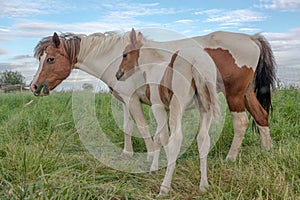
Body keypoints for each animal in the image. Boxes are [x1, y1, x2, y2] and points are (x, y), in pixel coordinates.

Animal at [30, 28, 276, 162]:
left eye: (50, 59)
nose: (34, 86)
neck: (116, 57)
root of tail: (251, 39)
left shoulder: (132, 99)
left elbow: (142, 126)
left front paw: (151, 155)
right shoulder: (124, 100)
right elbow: (128, 126)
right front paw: (127, 154)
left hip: (234, 95)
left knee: (241, 122)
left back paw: (231, 158)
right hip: (247, 94)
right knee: (261, 116)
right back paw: (266, 151)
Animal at [115, 30, 220, 194]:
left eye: (125, 54)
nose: (118, 74)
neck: (153, 67)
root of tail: (197, 60)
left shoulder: (157, 107)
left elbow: (163, 138)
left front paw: (156, 169)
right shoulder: (166, 109)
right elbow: (159, 138)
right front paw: (154, 167)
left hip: (178, 105)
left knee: (176, 139)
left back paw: (164, 187)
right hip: (205, 107)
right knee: (203, 139)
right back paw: (203, 185)